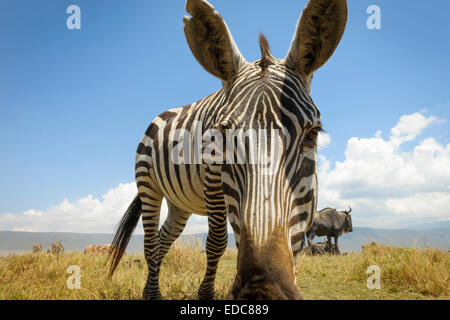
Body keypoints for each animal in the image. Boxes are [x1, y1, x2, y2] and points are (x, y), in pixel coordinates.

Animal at [108, 0, 348, 300]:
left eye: (313, 134)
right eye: (223, 137)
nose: (264, 292)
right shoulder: (214, 181)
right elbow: (217, 241)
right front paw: (206, 295)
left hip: (179, 204)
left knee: (163, 240)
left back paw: (147, 290)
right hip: (148, 184)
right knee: (151, 243)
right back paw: (153, 295)